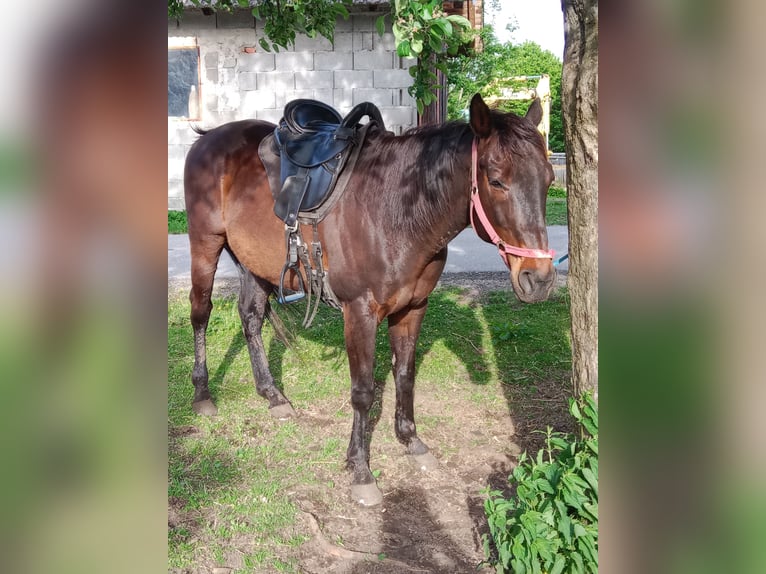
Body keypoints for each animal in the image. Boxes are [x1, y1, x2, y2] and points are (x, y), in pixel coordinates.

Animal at [186, 95, 560, 508]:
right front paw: (361, 470)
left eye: (549, 180)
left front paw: (411, 441)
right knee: (201, 313)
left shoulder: (413, 308)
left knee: (251, 317)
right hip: (205, 245)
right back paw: (203, 394)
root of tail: (209, 138)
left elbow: (404, 375)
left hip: (255, 262)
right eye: (495, 180)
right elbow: (363, 391)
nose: (538, 279)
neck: (397, 210)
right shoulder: (360, 313)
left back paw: (273, 395)